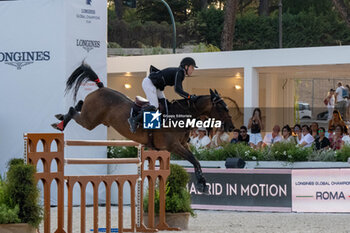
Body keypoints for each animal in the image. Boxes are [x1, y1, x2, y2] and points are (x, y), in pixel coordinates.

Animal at [52, 62, 235, 192]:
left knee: (79, 104)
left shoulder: (183, 144)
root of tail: (101, 88)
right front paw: (202, 184)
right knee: (74, 110)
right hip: (89, 121)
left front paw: (203, 183)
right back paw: (60, 123)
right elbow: (193, 159)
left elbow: (196, 160)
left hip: (92, 118)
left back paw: (60, 118)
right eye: (222, 108)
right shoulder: (173, 146)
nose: (232, 127)